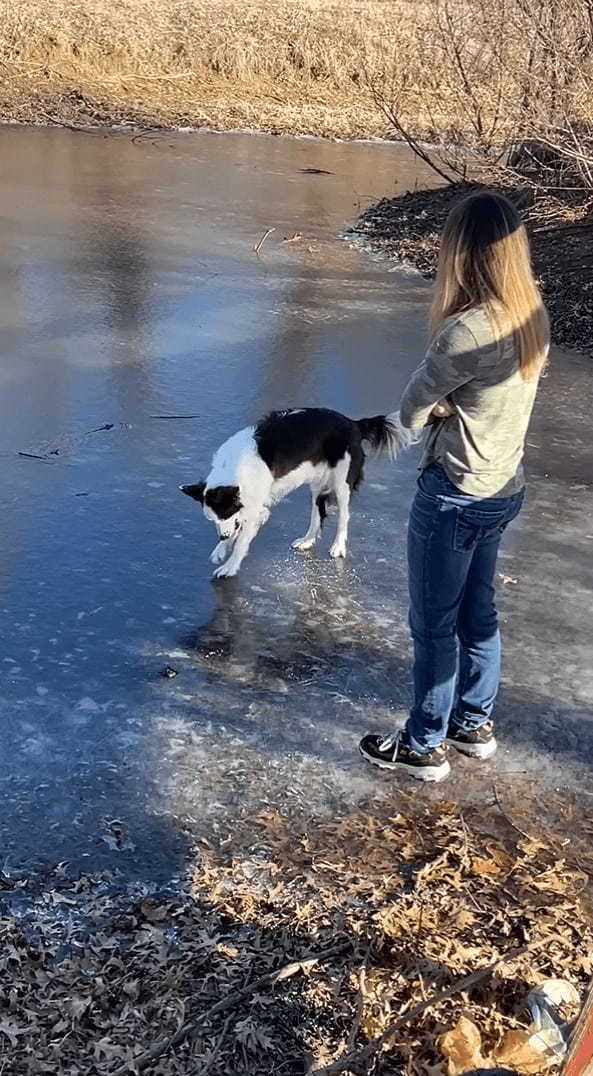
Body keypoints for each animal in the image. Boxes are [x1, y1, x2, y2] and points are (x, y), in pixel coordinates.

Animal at [180, 404, 413, 576]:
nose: (221, 537)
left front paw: (229, 566)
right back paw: (307, 540)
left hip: (341, 484)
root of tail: (353, 424)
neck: (231, 469)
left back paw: (338, 547)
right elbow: (237, 530)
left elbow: (241, 541)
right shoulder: (248, 507)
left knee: (343, 517)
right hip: (318, 485)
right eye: (212, 520)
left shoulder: (253, 510)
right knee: (317, 515)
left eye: (224, 513)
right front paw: (221, 549)